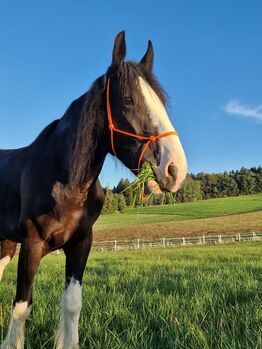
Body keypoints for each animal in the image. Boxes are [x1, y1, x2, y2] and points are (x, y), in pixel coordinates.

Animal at [1, 31, 187, 346]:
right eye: (128, 100)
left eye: (161, 102)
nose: (175, 169)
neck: (67, 187)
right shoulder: (32, 244)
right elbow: (21, 308)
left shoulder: (81, 244)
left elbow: (72, 305)